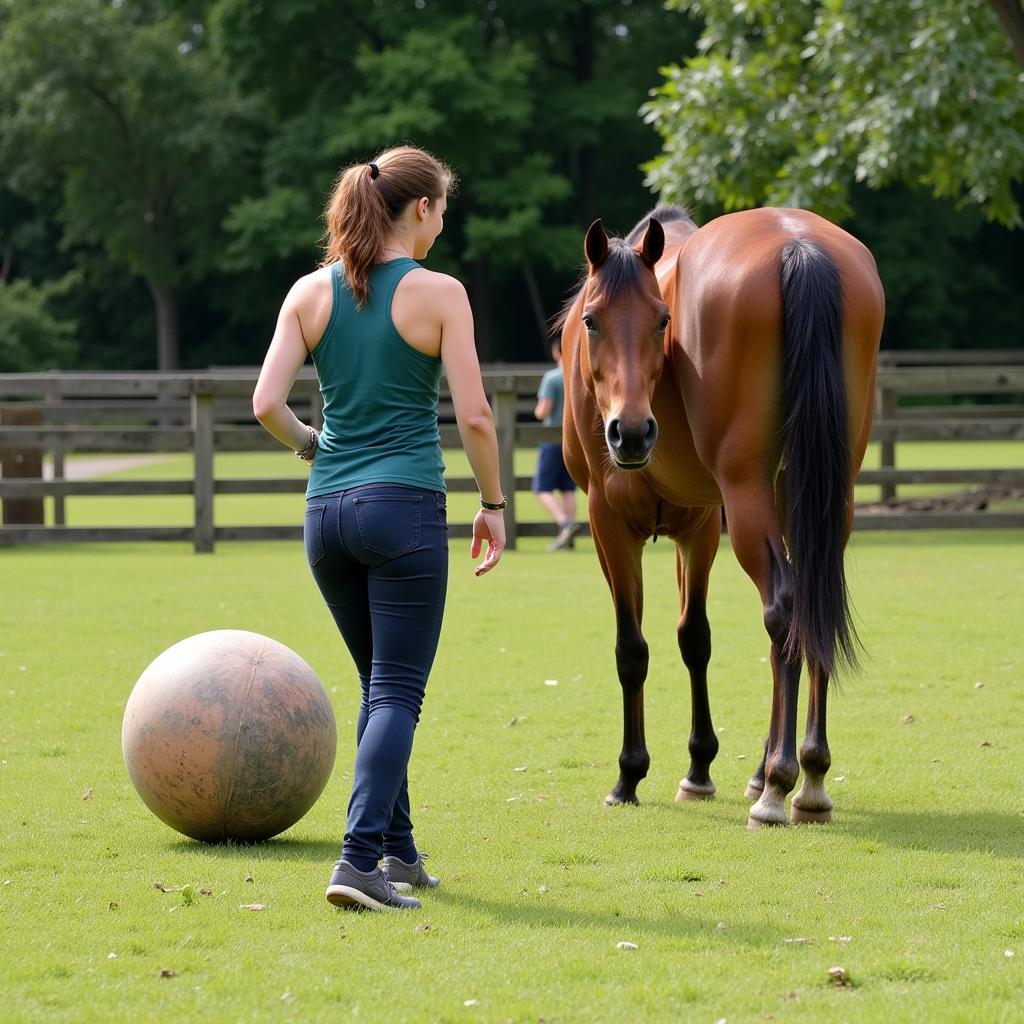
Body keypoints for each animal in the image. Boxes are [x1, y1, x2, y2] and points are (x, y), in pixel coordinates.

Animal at [557, 203, 884, 827]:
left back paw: (779, 784)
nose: (631, 433)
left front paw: (629, 775)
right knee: (812, 605)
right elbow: (695, 638)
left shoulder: (607, 521)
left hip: (748, 493)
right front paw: (699, 769)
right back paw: (808, 778)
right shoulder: (701, 525)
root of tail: (797, 243)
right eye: (593, 321)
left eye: (663, 321)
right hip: (820, 495)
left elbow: (632, 649)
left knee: (784, 608)